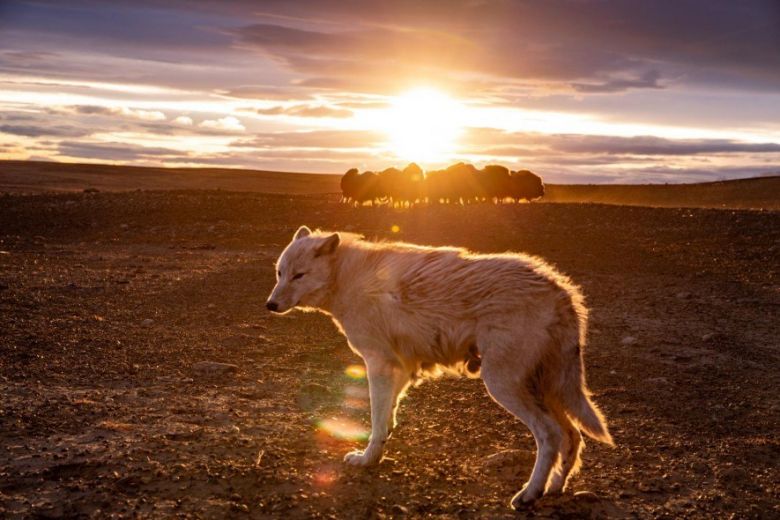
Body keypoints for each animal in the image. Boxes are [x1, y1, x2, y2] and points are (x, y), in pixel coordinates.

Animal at [266, 224, 612, 508]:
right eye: (280, 273)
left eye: (299, 275)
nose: (270, 305)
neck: (346, 278)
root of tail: (562, 292)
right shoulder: (400, 368)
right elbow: (388, 416)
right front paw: (380, 449)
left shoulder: (379, 364)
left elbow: (376, 420)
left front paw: (367, 459)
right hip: (547, 389)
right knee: (572, 436)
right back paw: (554, 488)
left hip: (503, 385)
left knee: (550, 434)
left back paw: (529, 494)